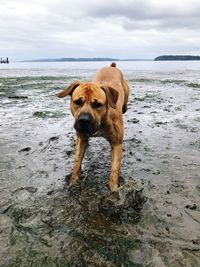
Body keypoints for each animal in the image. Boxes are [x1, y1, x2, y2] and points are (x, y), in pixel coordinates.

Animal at [57, 62, 130, 193]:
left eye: (97, 104)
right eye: (77, 102)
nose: (84, 120)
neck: (101, 121)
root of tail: (112, 67)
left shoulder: (117, 143)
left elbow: (114, 169)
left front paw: (113, 189)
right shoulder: (81, 138)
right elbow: (77, 161)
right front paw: (74, 181)